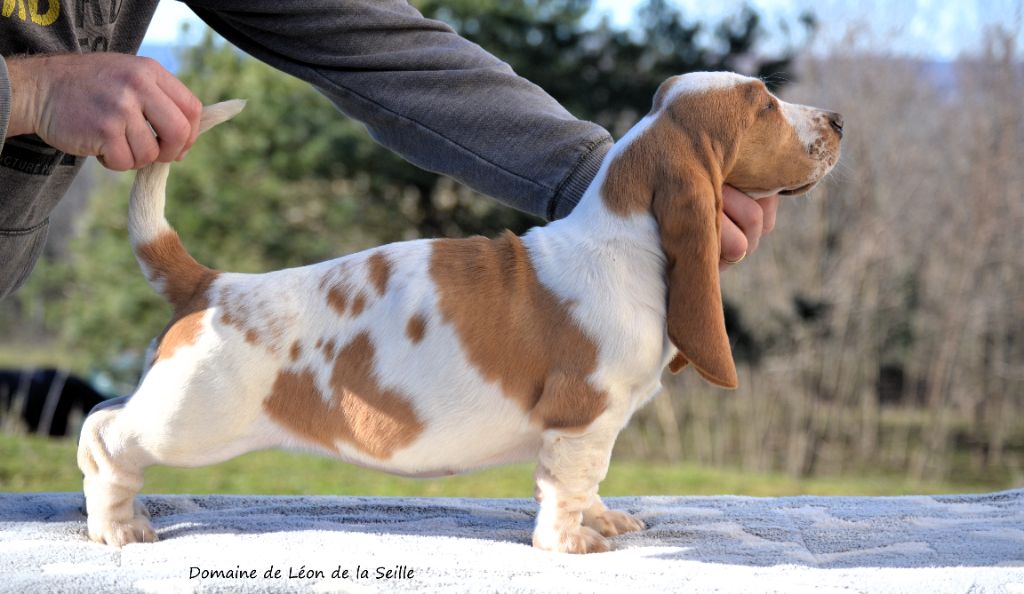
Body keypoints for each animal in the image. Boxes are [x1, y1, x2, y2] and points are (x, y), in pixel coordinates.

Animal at [74, 73, 839, 553]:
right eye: (764, 105)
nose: (836, 120)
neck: (626, 237)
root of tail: (211, 284)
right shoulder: (581, 416)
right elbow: (568, 484)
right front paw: (570, 542)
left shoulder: (600, 426)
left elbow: (592, 481)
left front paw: (603, 521)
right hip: (193, 419)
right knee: (107, 436)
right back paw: (117, 526)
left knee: (103, 414)